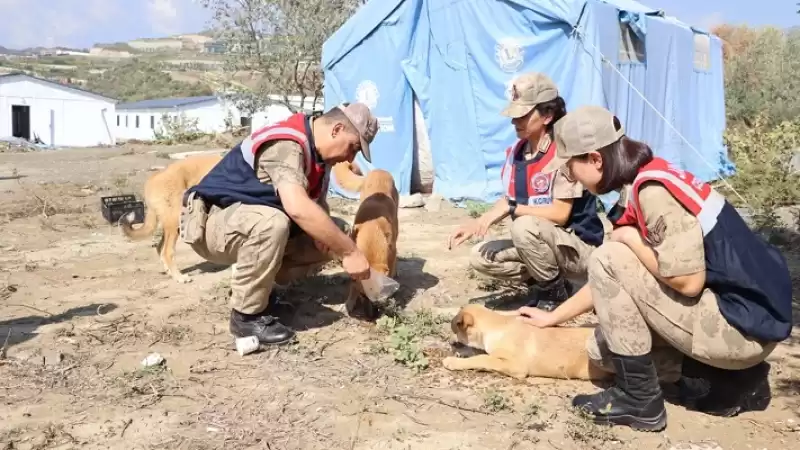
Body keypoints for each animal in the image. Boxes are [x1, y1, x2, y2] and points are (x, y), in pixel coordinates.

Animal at [117, 153, 222, 284]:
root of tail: (154, 177)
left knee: (160, 248)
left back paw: (170, 273)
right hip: (175, 220)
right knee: (167, 252)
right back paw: (179, 277)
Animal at [346, 169, 404, 320]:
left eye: (378, 297)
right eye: (362, 295)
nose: (370, 318)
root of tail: (380, 170)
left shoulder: (391, 248)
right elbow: (352, 285)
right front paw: (350, 301)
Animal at [444, 302, 612, 380]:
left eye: (455, 330)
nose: (450, 342)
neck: (498, 325)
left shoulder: (516, 366)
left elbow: (483, 358)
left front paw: (453, 361)